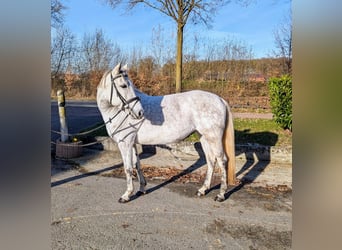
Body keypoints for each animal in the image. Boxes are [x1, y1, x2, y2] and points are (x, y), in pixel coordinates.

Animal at [96, 63, 235, 203]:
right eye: (123, 85)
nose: (140, 113)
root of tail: (220, 99)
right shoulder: (132, 143)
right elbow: (137, 165)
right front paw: (141, 189)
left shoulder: (125, 143)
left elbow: (128, 168)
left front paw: (126, 195)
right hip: (204, 137)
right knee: (211, 160)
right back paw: (202, 190)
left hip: (213, 138)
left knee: (222, 160)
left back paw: (221, 194)